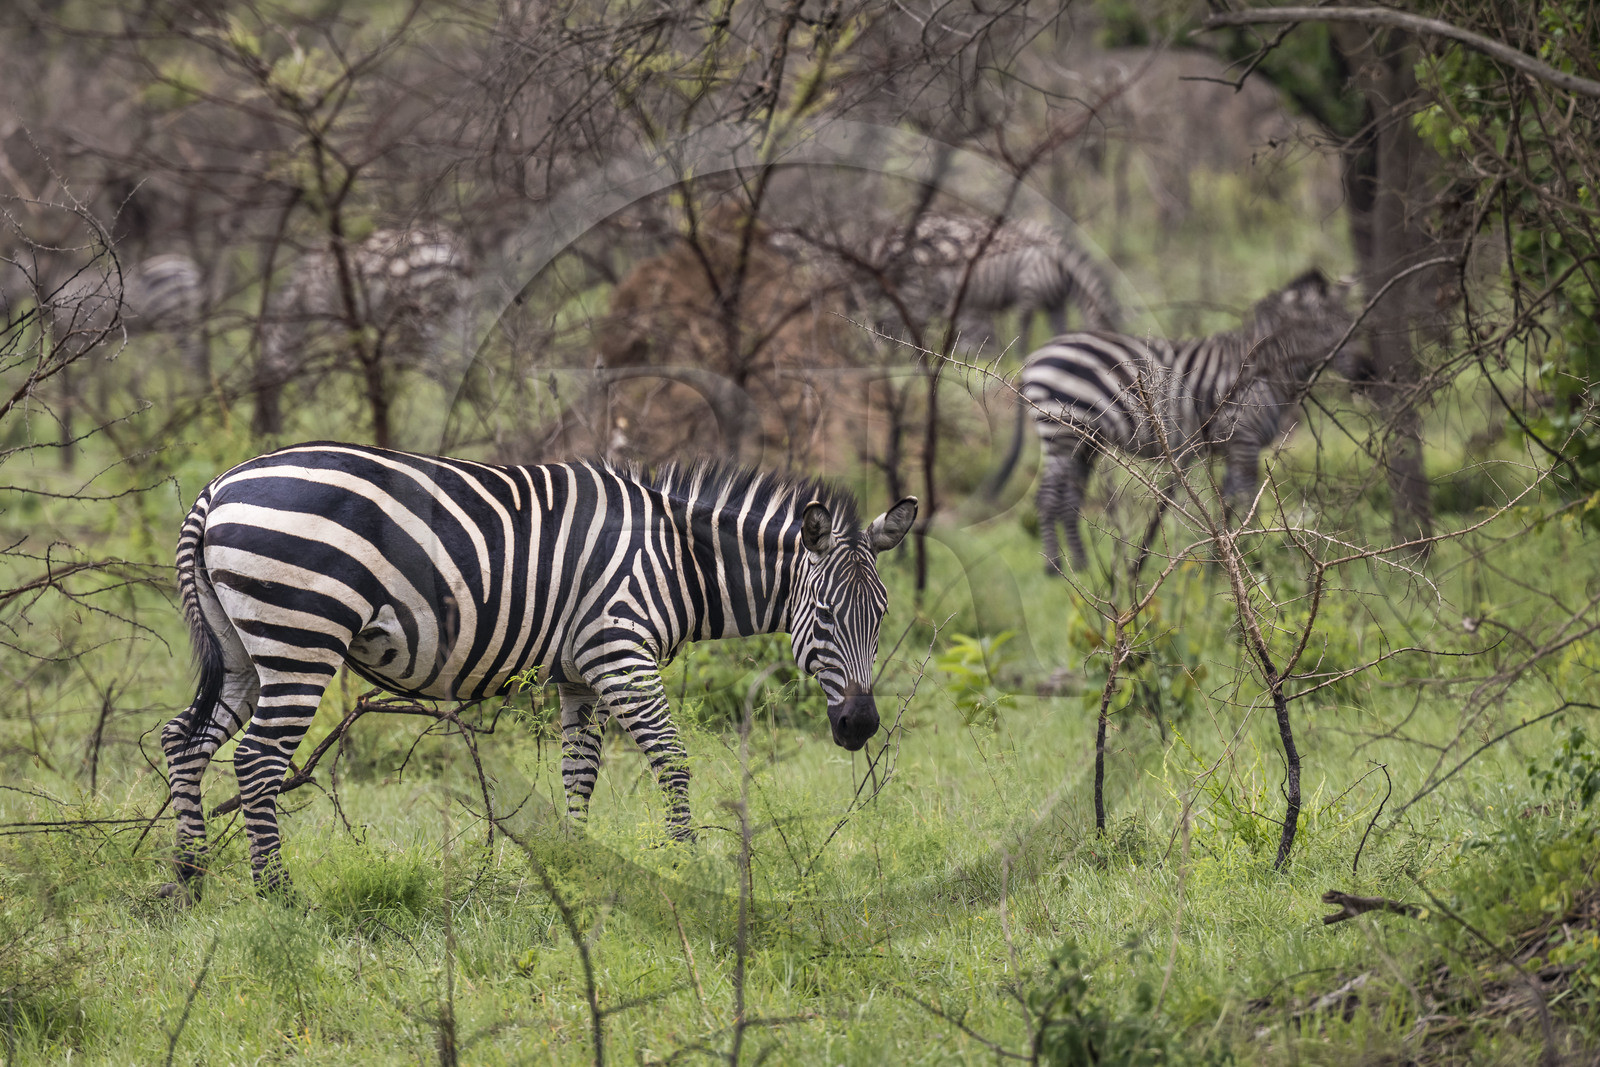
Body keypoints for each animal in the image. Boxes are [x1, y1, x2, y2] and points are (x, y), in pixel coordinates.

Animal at [160, 443, 917, 897]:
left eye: (881, 616)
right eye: (823, 616)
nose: (859, 726)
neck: (678, 557)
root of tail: (215, 489)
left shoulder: (582, 671)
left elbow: (579, 770)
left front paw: (579, 863)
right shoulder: (620, 649)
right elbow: (671, 756)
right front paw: (687, 857)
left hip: (242, 650)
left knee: (183, 741)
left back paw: (190, 877)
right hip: (300, 639)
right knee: (256, 758)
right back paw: (275, 889)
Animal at [254, 227, 472, 435]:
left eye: (265, 389)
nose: (266, 433)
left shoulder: (332, 315)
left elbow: (356, 351)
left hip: (423, 304)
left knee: (439, 358)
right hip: (456, 310)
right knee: (459, 356)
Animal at [869, 213, 1123, 344]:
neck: (1059, 264)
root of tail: (887, 238)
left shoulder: (1054, 303)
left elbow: (1060, 331)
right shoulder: (1028, 293)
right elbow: (1023, 334)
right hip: (913, 291)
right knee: (891, 324)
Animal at [988, 269, 1358, 574]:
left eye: (1352, 326)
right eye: (1328, 329)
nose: (1366, 371)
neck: (1265, 368)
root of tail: (1035, 356)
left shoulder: (1232, 445)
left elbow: (1227, 503)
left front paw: (1222, 561)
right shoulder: (1243, 439)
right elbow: (1242, 502)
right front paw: (1243, 560)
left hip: (1085, 439)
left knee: (1068, 496)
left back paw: (1081, 565)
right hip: (1062, 427)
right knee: (1048, 496)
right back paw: (1054, 567)